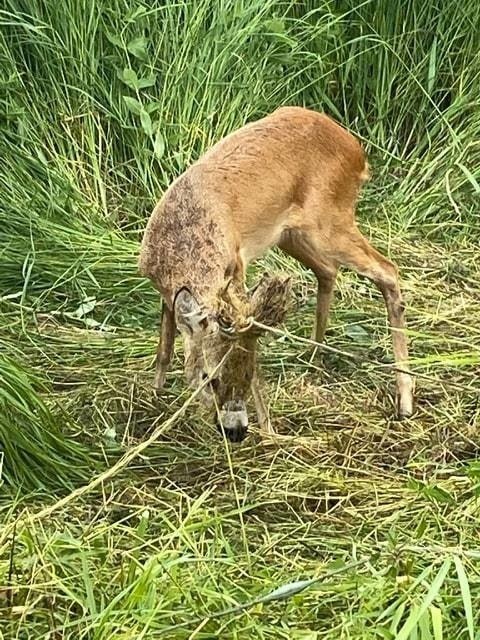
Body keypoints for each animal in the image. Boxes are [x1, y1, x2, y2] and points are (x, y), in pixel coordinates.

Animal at [138, 107, 412, 442]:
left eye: (246, 373)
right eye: (209, 377)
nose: (236, 430)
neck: (182, 242)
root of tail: (358, 152)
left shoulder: (236, 271)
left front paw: (268, 429)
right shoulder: (165, 291)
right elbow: (164, 348)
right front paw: (155, 397)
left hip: (329, 222)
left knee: (387, 270)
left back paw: (405, 400)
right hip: (292, 234)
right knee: (328, 270)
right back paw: (313, 357)